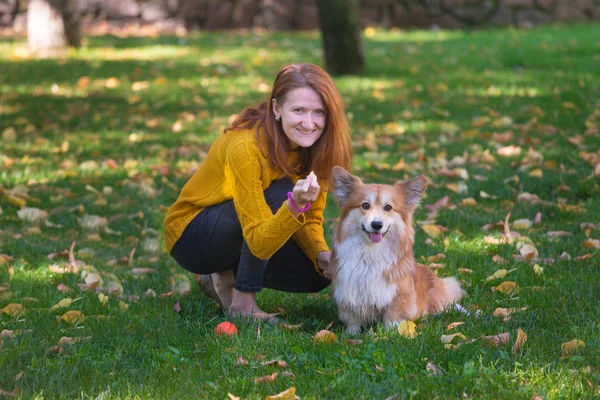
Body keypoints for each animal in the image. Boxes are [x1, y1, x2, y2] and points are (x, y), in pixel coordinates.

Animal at [328, 166, 464, 334]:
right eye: (365, 205)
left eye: (388, 207)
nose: (376, 225)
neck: (370, 253)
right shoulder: (347, 292)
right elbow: (352, 319)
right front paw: (351, 333)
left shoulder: (398, 295)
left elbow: (392, 316)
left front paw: (389, 333)